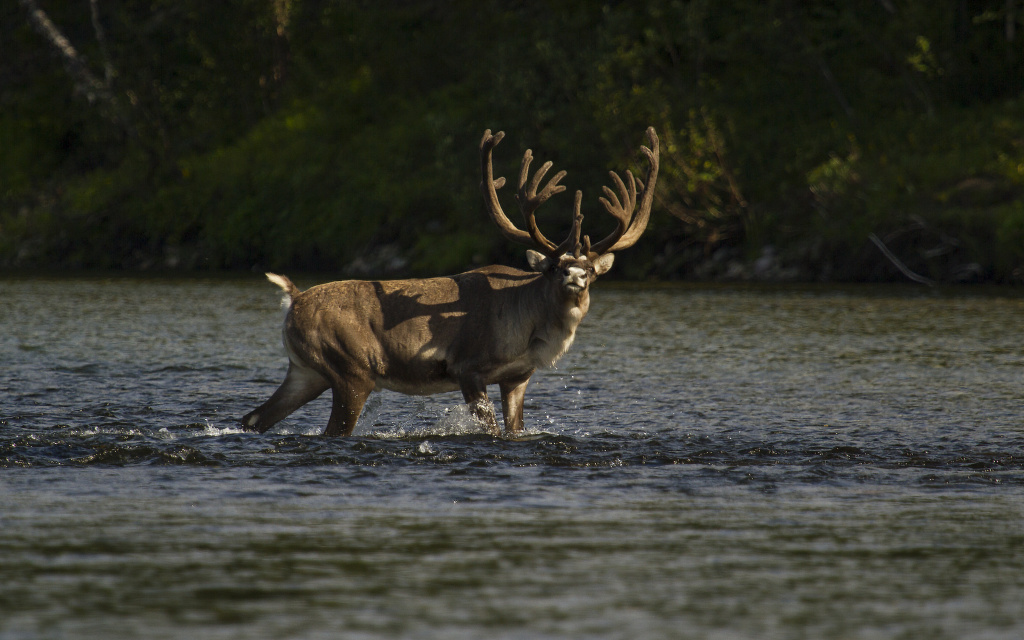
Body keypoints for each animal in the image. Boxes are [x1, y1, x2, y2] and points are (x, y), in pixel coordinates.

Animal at [241, 127, 659, 437]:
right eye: (554, 267)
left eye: (592, 270)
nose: (575, 276)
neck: (530, 328)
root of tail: (293, 300)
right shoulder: (467, 366)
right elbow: (490, 428)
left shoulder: (518, 376)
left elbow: (515, 429)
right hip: (351, 370)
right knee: (331, 429)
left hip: (306, 370)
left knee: (254, 418)